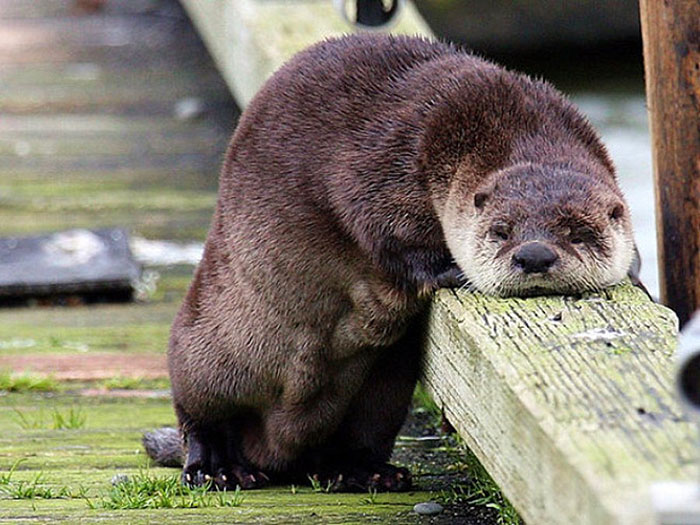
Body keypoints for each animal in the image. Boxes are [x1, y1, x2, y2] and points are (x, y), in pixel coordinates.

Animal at [144, 34, 639, 492]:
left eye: (578, 232)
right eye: (501, 230)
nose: (534, 254)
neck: (510, 123)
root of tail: (273, 450)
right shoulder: (383, 160)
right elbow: (383, 231)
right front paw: (450, 270)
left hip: (383, 389)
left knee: (356, 437)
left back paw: (365, 472)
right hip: (207, 345)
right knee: (197, 411)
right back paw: (216, 467)